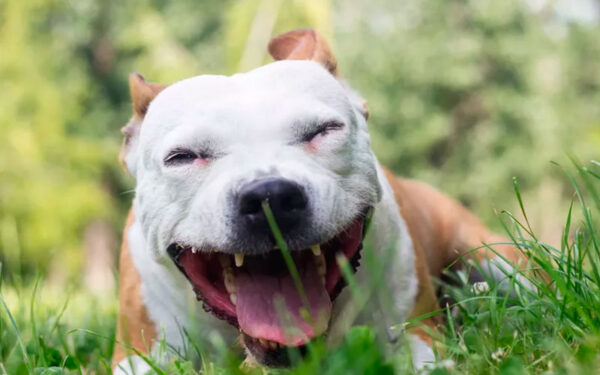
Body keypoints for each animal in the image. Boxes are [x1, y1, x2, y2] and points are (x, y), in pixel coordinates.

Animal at [112, 28, 524, 374]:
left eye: (324, 131)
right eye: (182, 157)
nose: (269, 196)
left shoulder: (417, 335)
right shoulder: (137, 354)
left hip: (494, 260)